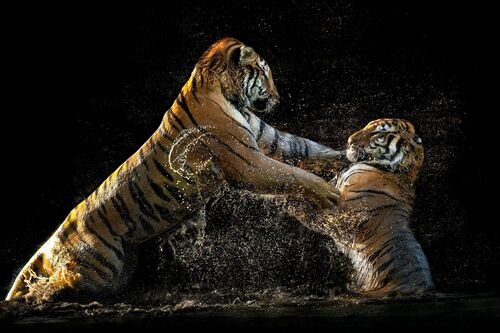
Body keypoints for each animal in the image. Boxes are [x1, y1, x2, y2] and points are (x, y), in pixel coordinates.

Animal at [6, 37, 344, 302]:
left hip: (117, 272)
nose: (277, 97)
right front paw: (329, 193)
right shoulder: (249, 163)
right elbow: (292, 174)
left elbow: (306, 146)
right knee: (57, 284)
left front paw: (347, 153)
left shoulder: (269, 138)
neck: (227, 93)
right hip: (98, 272)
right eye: (264, 73)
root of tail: (55, 237)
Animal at [292, 118, 434, 296]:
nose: (349, 141)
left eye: (378, 132)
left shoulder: (345, 218)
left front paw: (290, 202)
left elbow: (316, 213)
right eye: (366, 126)